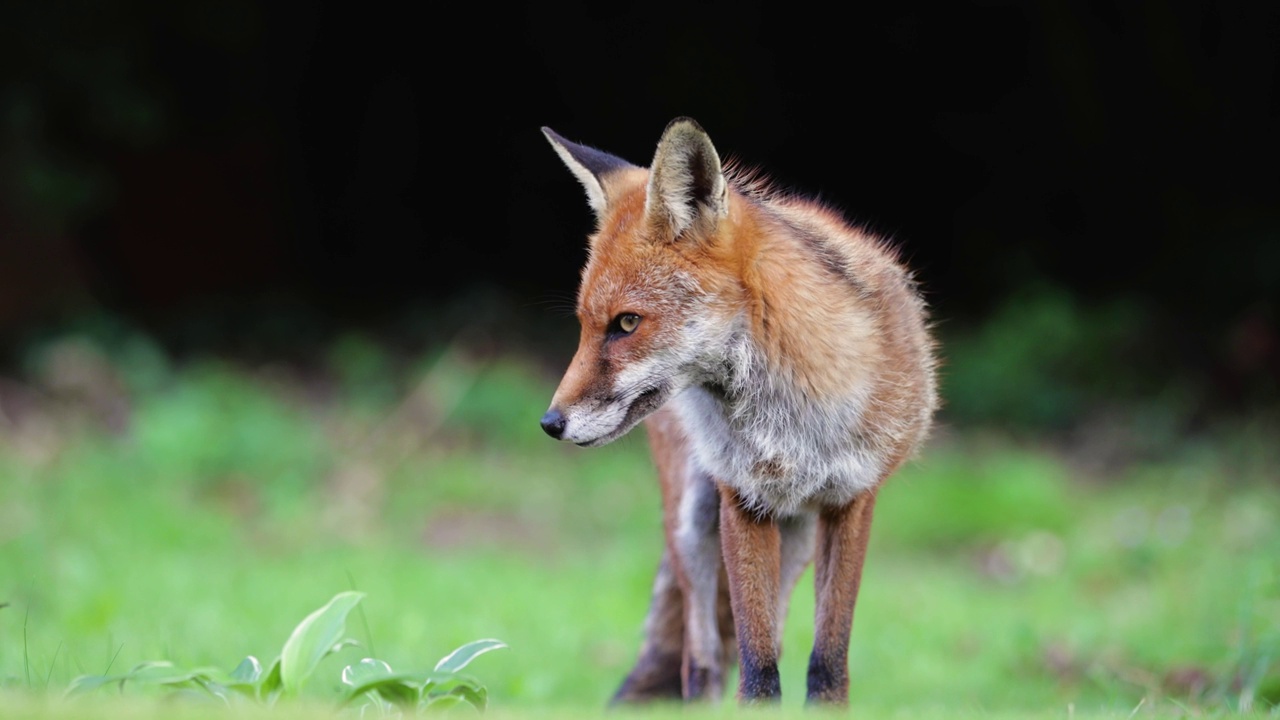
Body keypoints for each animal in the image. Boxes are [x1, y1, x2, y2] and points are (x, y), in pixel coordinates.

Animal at [540, 116, 942, 702]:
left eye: (627, 323)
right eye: (585, 325)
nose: (550, 423)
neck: (790, 416)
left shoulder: (852, 501)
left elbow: (826, 668)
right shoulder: (744, 500)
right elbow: (758, 672)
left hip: (797, 540)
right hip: (693, 524)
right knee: (700, 661)